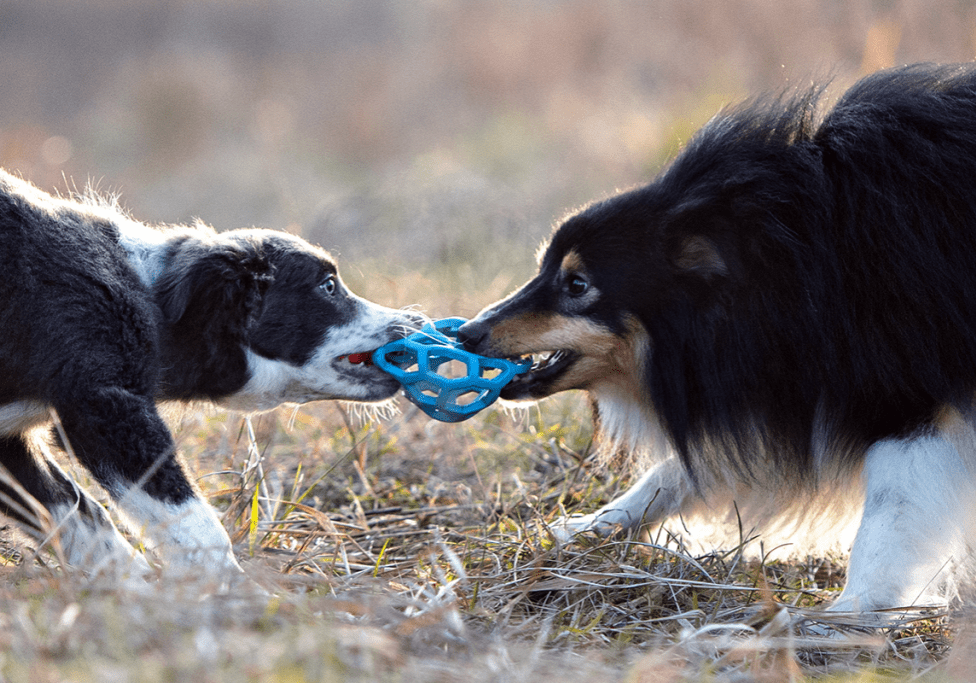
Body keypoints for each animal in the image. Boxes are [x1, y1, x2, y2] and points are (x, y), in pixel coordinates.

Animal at [0, 171, 416, 584]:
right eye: (328, 285)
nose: (417, 321)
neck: (150, 296)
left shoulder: (11, 442)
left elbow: (77, 514)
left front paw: (136, 589)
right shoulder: (103, 404)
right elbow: (191, 520)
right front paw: (233, 591)